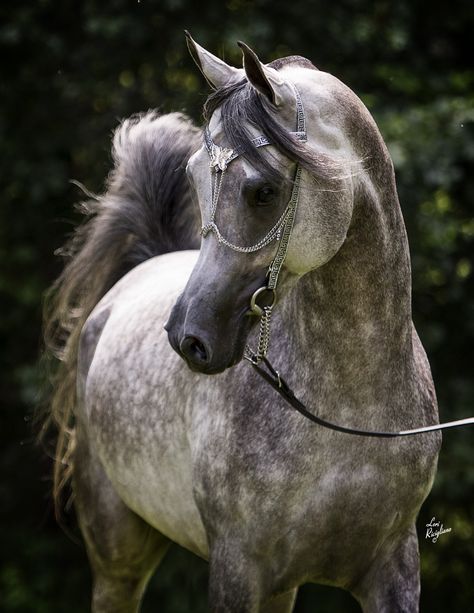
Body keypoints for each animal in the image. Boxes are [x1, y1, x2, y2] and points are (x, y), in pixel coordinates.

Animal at [43, 34, 440, 612]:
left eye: (263, 191)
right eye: (193, 177)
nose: (188, 338)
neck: (347, 409)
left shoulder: (393, 570)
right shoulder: (238, 570)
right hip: (118, 560)